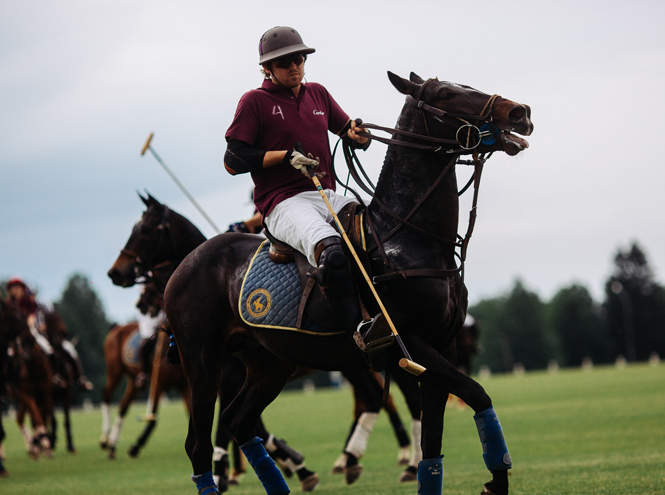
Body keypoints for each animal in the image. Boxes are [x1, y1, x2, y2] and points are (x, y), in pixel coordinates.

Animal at [163, 70, 532, 495]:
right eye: (444, 94)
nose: (520, 112)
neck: (411, 239)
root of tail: (181, 267)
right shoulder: (412, 344)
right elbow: (476, 393)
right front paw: (496, 481)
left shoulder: (445, 344)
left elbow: (435, 440)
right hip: (202, 361)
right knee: (199, 443)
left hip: (270, 362)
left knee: (238, 421)